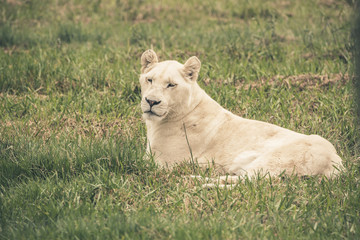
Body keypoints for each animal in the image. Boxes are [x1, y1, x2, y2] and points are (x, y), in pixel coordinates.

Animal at [138, 49, 344, 179]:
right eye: (150, 80)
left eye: (171, 85)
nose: (151, 101)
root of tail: (336, 161)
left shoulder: (162, 163)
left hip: (272, 162)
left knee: (250, 183)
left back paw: (195, 180)